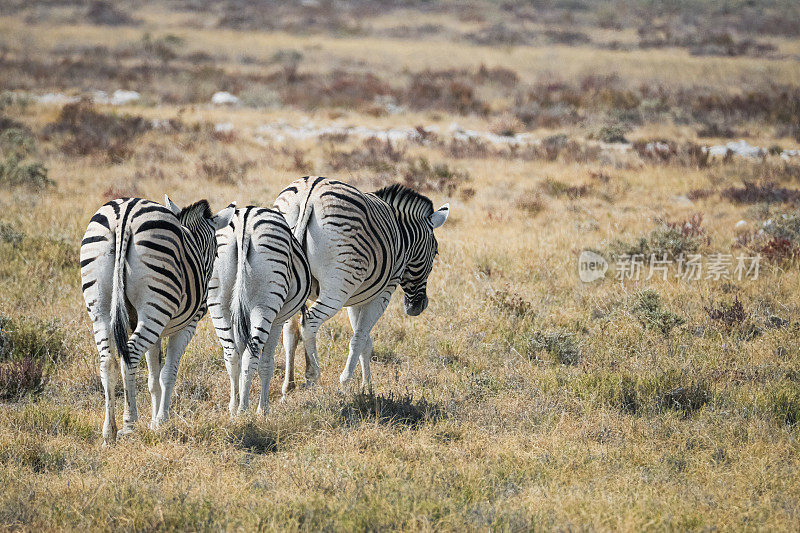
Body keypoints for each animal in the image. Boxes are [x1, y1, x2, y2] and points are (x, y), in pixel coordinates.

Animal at [80, 193, 234, 442]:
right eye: (218, 251)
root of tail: (125, 214)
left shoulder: (157, 330)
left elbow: (154, 378)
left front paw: (154, 422)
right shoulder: (186, 327)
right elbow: (168, 374)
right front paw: (162, 420)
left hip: (102, 305)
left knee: (107, 361)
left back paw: (108, 431)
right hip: (156, 304)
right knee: (130, 353)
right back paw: (129, 422)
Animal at [206, 204, 312, 416]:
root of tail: (244, 223)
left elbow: (239, 353)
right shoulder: (277, 321)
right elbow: (266, 364)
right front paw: (263, 409)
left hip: (218, 303)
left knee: (231, 355)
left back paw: (234, 408)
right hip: (265, 305)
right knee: (251, 356)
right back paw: (244, 410)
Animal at [274, 177, 450, 388]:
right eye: (436, 252)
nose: (418, 307)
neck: (401, 232)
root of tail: (309, 195)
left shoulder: (357, 296)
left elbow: (365, 340)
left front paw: (367, 386)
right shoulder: (382, 294)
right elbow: (359, 338)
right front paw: (346, 382)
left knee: (289, 330)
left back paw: (288, 385)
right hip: (337, 288)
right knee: (309, 322)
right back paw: (312, 373)